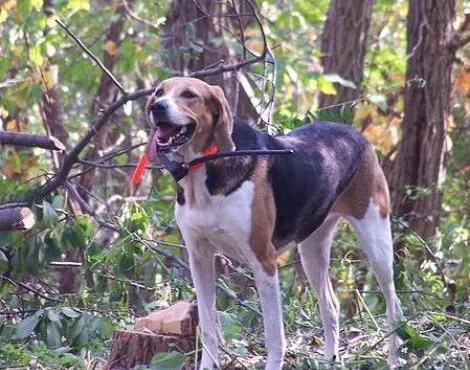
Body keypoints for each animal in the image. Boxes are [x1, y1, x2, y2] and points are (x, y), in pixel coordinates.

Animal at [145, 76, 402, 368]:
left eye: (189, 94)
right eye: (159, 92)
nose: (156, 107)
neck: (203, 169)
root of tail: (354, 133)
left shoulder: (263, 261)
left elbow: (274, 336)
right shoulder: (199, 258)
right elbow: (209, 330)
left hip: (377, 241)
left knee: (394, 305)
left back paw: (393, 358)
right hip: (312, 251)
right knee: (331, 306)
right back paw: (330, 360)